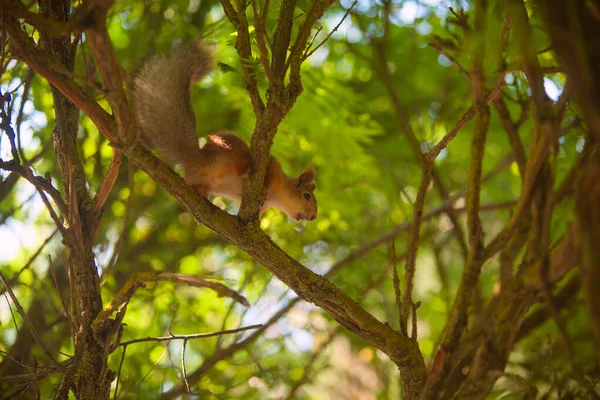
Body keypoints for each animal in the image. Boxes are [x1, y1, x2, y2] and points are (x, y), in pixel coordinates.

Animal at [132, 40, 318, 222]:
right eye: (306, 196)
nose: (313, 217)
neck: (277, 197)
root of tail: (200, 160)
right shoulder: (273, 166)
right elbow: (269, 174)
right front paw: (263, 190)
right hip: (231, 147)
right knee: (238, 162)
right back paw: (245, 169)